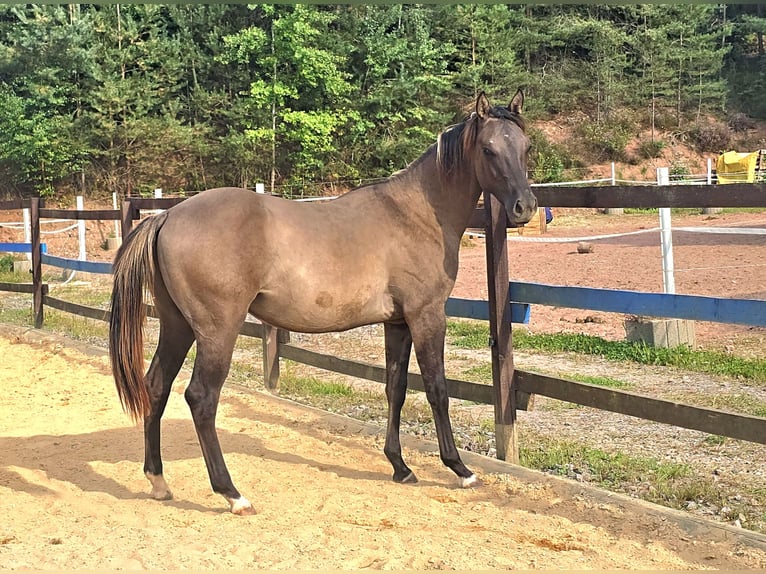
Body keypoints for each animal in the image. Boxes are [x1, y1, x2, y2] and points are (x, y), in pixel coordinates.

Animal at [109, 90, 538, 515]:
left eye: (525, 147)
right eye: (488, 149)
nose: (525, 207)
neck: (416, 214)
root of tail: (167, 217)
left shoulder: (397, 322)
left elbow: (395, 388)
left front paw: (400, 466)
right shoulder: (427, 316)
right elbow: (437, 389)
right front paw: (460, 469)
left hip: (178, 325)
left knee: (156, 386)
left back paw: (158, 481)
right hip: (217, 332)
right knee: (201, 398)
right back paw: (232, 494)